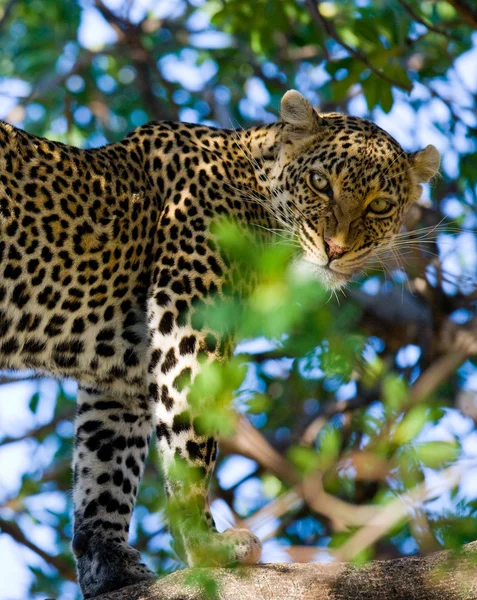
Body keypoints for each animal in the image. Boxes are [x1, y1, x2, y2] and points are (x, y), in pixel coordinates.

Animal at [0, 91, 438, 596]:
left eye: (381, 204)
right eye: (320, 183)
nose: (336, 249)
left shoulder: (120, 376)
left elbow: (106, 468)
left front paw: (109, 566)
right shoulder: (187, 324)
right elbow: (190, 442)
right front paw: (206, 547)